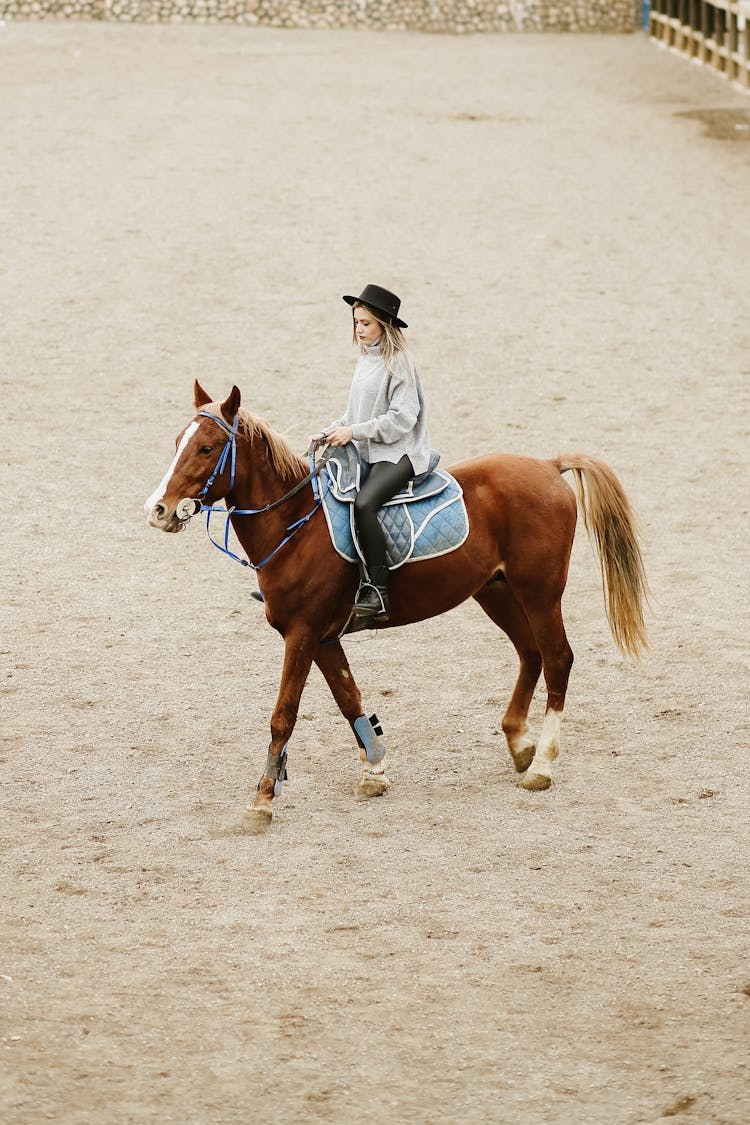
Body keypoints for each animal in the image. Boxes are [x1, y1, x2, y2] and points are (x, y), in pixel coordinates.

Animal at [145, 382, 647, 823]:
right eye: (177, 442)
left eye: (207, 448)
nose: (159, 510)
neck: (294, 526)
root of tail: (548, 464)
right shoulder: (322, 638)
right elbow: (349, 698)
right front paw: (374, 770)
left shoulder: (302, 634)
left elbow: (283, 716)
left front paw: (263, 800)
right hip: (496, 591)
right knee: (531, 653)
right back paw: (519, 743)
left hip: (540, 591)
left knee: (558, 657)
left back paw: (541, 764)